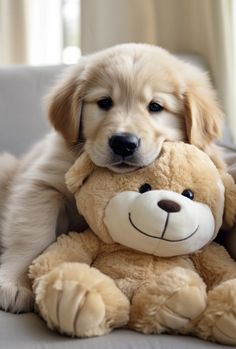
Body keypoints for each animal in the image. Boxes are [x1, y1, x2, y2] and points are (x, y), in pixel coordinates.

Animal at [0, 43, 224, 312]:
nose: (123, 143)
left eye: (155, 106)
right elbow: (31, 237)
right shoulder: (41, 184)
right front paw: (14, 282)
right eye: (105, 102)